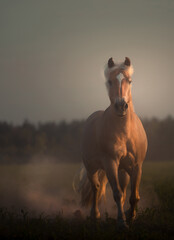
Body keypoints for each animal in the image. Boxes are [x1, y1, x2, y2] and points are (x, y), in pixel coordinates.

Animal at [78, 57, 147, 228]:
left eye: (130, 80)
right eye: (109, 81)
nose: (121, 106)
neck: (125, 133)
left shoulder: (137, 166)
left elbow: (133, 196)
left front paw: (131, 216)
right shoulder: (110, 164)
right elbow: (116, 194)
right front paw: (122, 223)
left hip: (123, 171)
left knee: (123, 191)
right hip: (92, 168)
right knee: (96, 188)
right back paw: (95, 215)